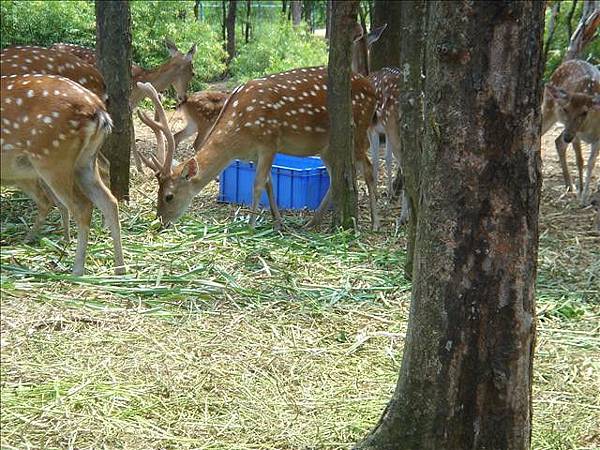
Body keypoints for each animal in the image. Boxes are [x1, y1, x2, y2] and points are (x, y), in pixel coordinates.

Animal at [0, 74, 124, 274]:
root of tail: (100, 112)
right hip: (85, 162)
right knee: (109, 202)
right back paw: (120, 269)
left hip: (52, 159)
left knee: (82, 206)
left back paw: (77, 269)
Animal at [136, 66, 380, 232]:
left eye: (168, 196)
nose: (161, 221)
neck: (238, 138)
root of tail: (372, 89)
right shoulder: (254, 153)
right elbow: (270, 183)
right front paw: (278, 222)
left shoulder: (269, 142)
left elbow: (258, 184)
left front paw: (251, 226)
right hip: (327, 146)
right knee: (335, 176)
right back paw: (311, 222)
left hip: (358, 130)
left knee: (368, 169)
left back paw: (374, 223)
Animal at [544, 59, 600, 206]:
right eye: (565, 109)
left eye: (584, 112)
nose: (568, 137)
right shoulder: (576, 135)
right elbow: (579, 160)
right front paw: (581, 194)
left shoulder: (598, 138)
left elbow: (591, 163)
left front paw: (585, 197)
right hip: (548, 108)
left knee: (558, 141)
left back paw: (569, 185)